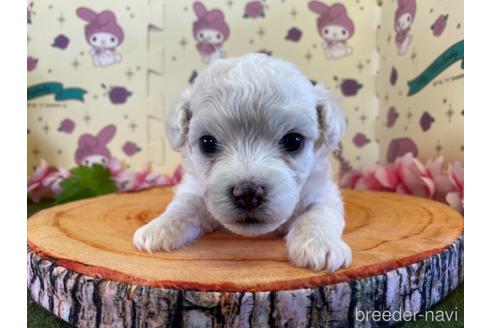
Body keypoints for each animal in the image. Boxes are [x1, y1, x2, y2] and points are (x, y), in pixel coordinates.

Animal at [133, 53, 352, 272]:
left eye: (294, 141)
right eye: (207, 143)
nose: (248, 193)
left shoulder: (323, 191)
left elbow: (318, 213)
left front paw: (320, 245)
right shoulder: (193, 187)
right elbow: (183, 206)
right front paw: (158, 228)